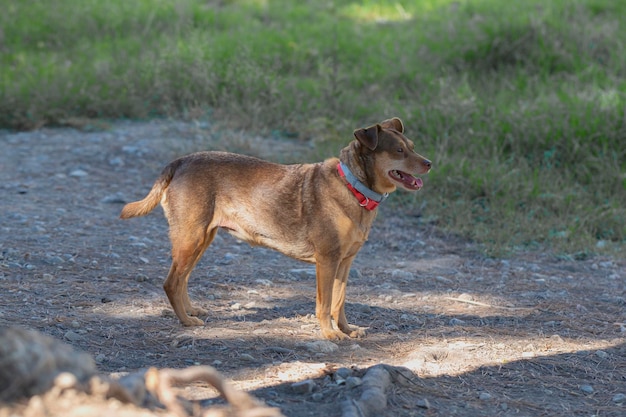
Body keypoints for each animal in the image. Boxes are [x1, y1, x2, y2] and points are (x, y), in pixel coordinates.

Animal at [119, 117, 428, 338]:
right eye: (399, 151)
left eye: (413, 146)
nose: (429, 162)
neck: (354, 187)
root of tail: (179, 162)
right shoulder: (327, 261)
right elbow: (324, 304)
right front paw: (329, 334)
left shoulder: (345, 262)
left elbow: (339, 302)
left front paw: (346, 329)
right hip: (191, 238)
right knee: (171, 282)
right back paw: (186, 321)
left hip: (201, 239)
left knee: (182, 279)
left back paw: (191, 310)